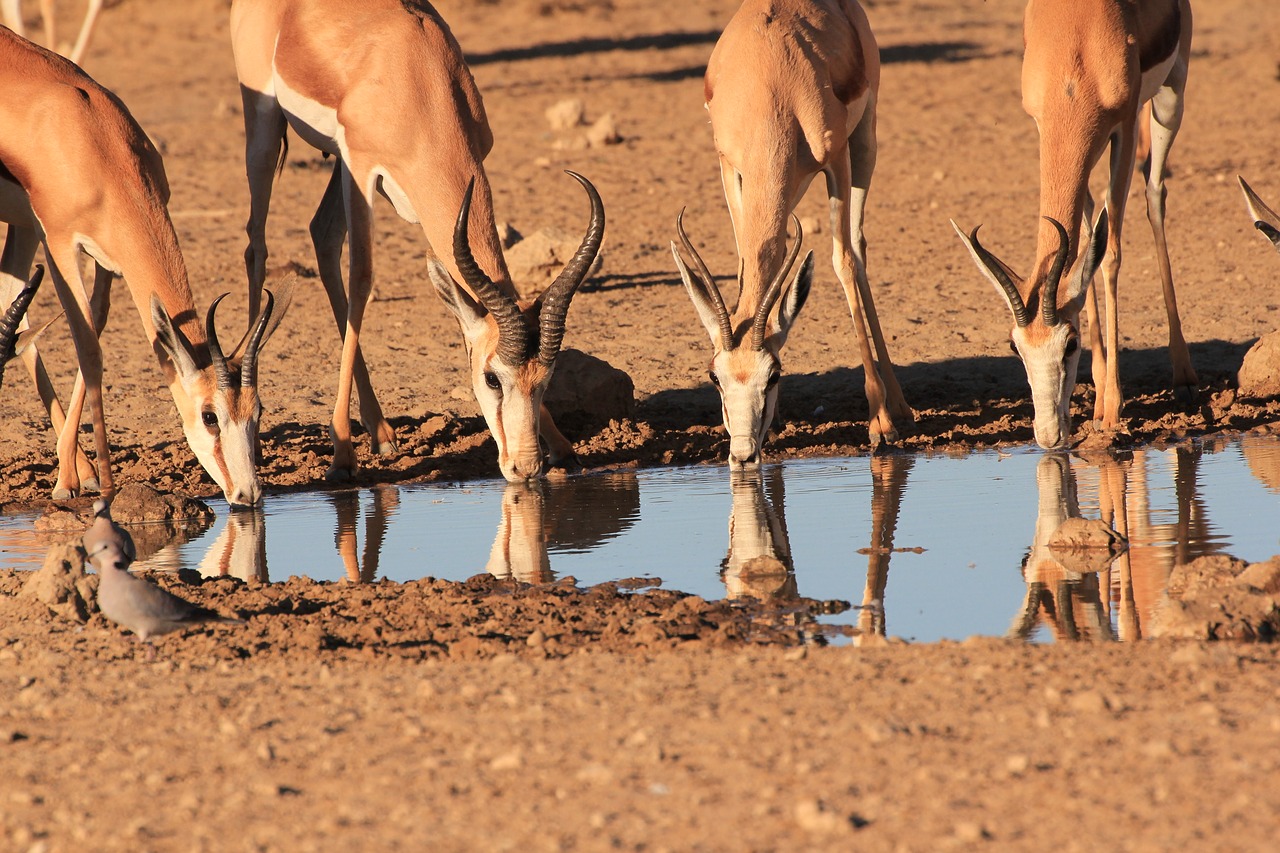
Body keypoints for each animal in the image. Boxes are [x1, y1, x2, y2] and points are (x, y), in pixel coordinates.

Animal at [0, 31, 285, 504]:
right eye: (210, 415)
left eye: (258, 410)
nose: (247, 494)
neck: (93, 140)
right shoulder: (58, 243)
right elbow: (89, 349)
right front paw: (90, 485)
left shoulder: (109, 261)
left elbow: (95, 324)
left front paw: (80, 476)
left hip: (22, 229)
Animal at [229, 0, 599, 481]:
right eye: (492, 378)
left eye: (546, 379)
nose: (525, 467)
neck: (419, 81)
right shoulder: (360, 167)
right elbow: (362, 278)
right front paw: (342, 455)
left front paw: (563, 447)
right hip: (264, 127)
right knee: (257, 245)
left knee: (322, 235)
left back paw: (381, 431)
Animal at [670, 0, 911, 466]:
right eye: (714, 376)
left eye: (774, 374)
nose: (743, 453)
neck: (770, 88)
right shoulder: (730, 167)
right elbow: (749, 265)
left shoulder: (835, 158)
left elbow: (843, 262)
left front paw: (878, 424)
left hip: (864, 140)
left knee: (857, 248)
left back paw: (898, 406)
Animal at [957, 0, 1192, 450]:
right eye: (1015, 348)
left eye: (1069, 344)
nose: (1049, 436)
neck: (1075, 52)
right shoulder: (1047, 129)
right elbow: (1086, 248)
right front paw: (1099, 399)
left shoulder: (1124, 126)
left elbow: (1110, 254)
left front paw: (1113, 409)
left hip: (1171, 95)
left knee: (1154, 194)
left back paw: (1183, 373)